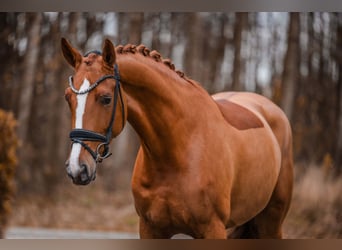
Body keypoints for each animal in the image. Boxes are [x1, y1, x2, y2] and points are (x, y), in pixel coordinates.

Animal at [61, 38, 294, 239]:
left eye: (106, 99)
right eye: (68, 98)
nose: (77, 168)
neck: (177, 151)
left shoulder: (213, 229)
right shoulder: (150, 229)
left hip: (271, 223)